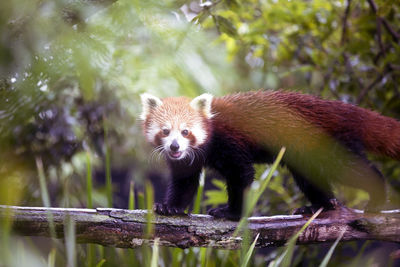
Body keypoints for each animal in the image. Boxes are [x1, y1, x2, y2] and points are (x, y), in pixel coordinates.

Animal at [141, 91, 400, 221]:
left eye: (186, 131)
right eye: (166, 131)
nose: (175, 147)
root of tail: (342, 110)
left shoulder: (230, 142)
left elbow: (241, 175)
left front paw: (232, 213)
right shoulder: (186, 161)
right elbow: (184, 183)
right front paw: (170, 208)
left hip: (330, 145)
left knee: (352, 169)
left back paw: (377, 197)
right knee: (311, 177)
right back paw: (321, 206)